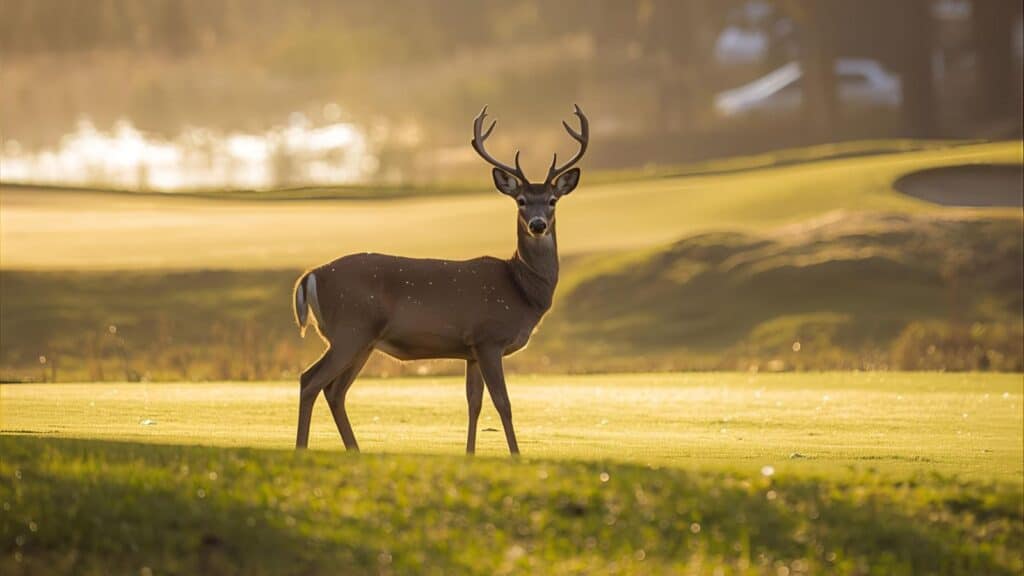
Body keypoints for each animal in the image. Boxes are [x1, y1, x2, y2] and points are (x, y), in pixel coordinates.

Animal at [292, 105, 588, 455]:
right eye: (521, 201)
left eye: (553, 200)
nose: (538, 225)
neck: (521, 291)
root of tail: (311, 275)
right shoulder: (489, 337)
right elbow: (503, 402)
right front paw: (516, 455)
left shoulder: (471, 349)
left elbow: (474, 403)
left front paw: (470, 453)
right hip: (350, 328)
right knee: (310, 380)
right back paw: (302, 449)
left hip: (362, 339)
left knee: (334, 391)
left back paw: (354, 450)